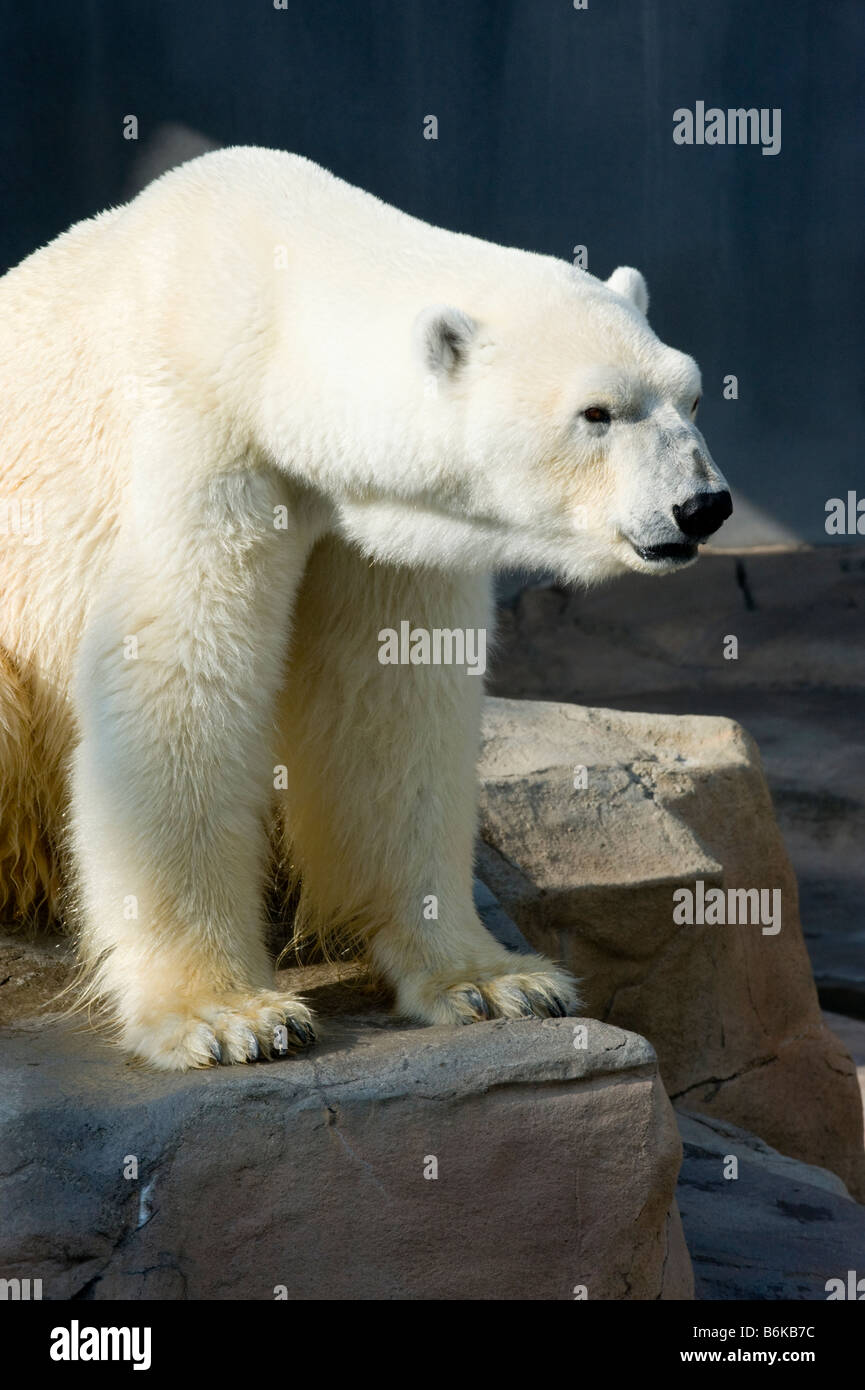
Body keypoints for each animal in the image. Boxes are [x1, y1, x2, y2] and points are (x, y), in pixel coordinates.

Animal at [0, 146, 734, 1067]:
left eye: (693, 397)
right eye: (595, 413)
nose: (700, 506)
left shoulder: (377, 533)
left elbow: (389, 703)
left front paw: (492, 981)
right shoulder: (199, 438)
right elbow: (179, 678)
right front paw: (230, 1017)